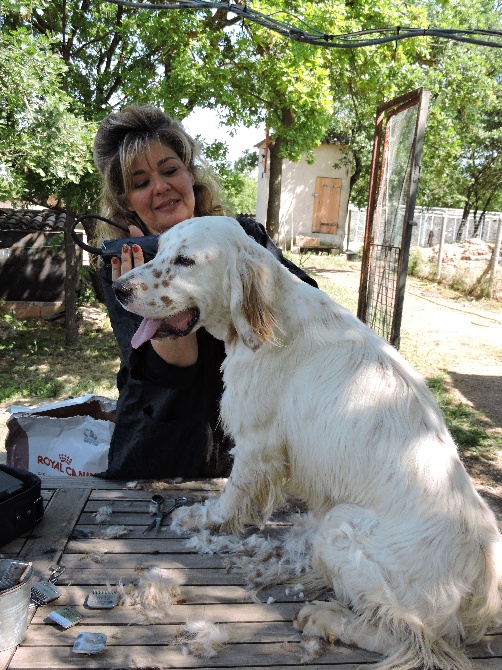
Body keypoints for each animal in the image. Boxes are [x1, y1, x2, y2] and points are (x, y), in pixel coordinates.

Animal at [114, 218, 502, 668]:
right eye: (158, 252)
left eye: (185, 260)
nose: (119, 288)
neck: (268, 315)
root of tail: (481, 594)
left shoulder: (256, 443)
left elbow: (230, 497)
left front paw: (201, 518)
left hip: (341, 527)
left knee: (407, 638)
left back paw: (326, 618)